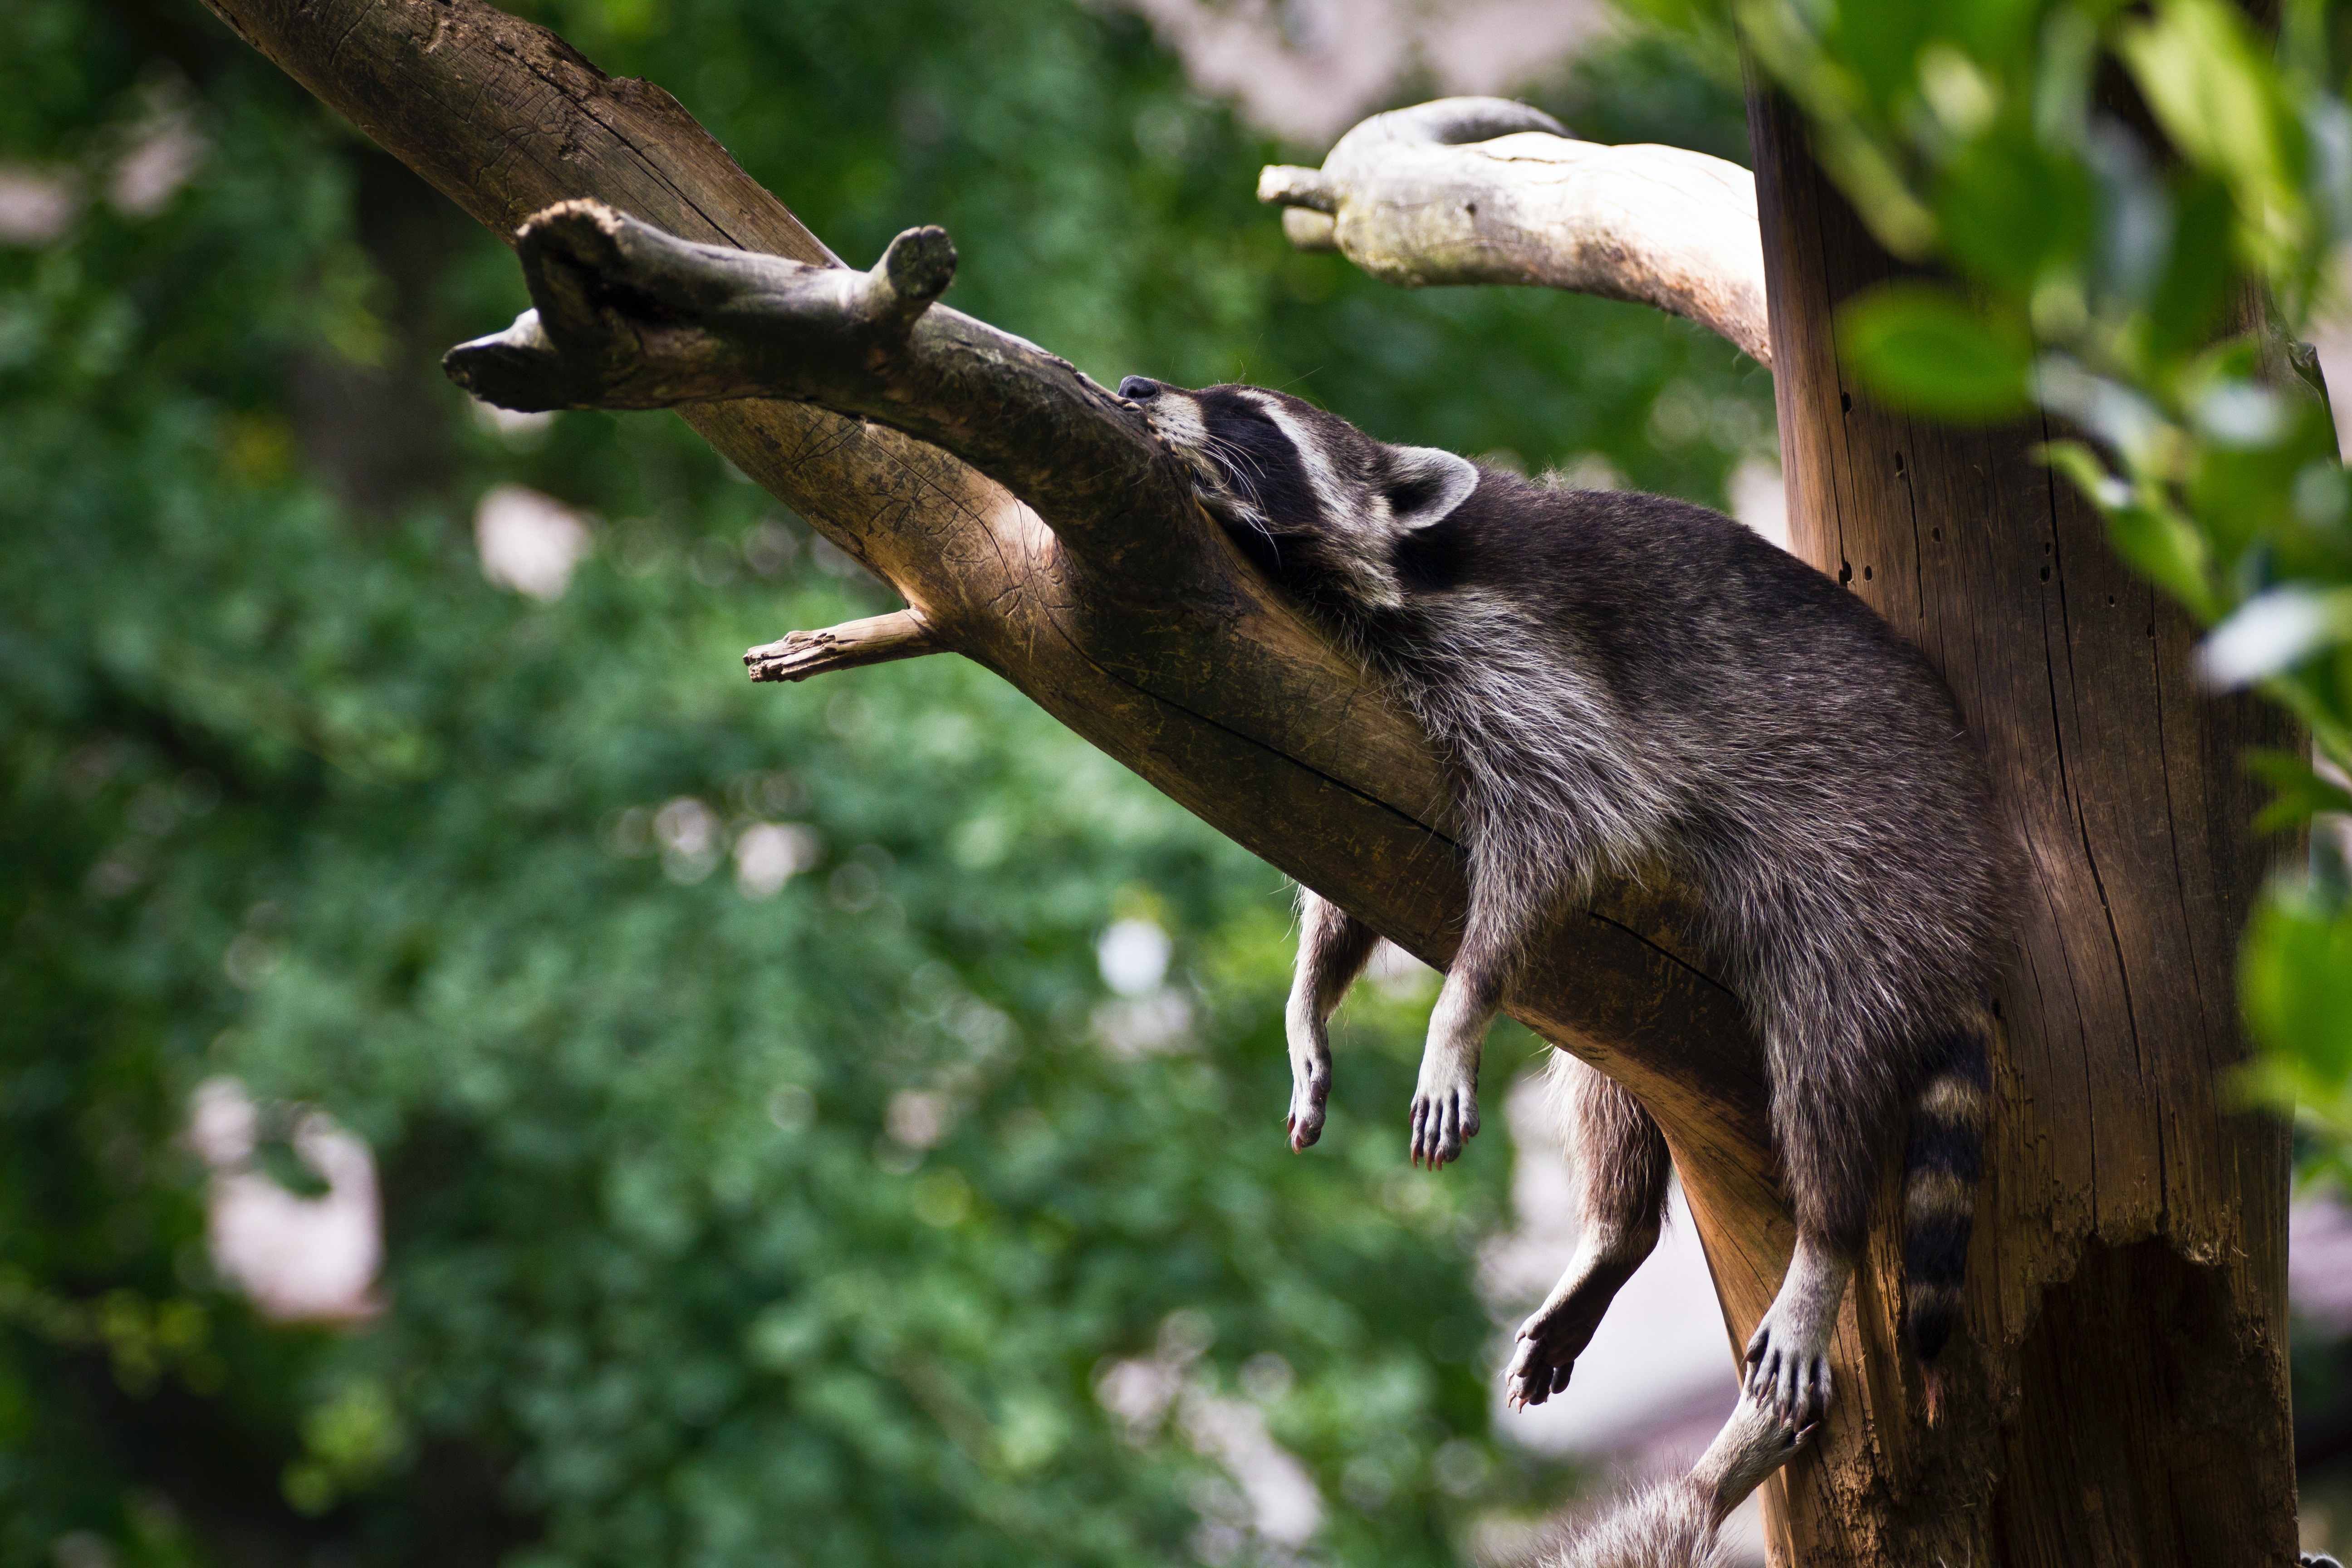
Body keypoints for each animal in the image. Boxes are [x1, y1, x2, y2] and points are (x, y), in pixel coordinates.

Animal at [1129, 373, 2013, 1429]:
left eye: (1244, 413)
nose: (1135, 386)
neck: (1404, 570)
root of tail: (1972, 899)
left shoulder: (1535, 670)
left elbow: (1557, 841)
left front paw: (1456, 1012)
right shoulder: (1361, 722)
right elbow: (1349, 869)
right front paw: (1310, 1002)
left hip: (1876, 868)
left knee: (1825, 1063)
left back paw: (1823, 1242)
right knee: (1614, 1078)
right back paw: (1616, 1231)